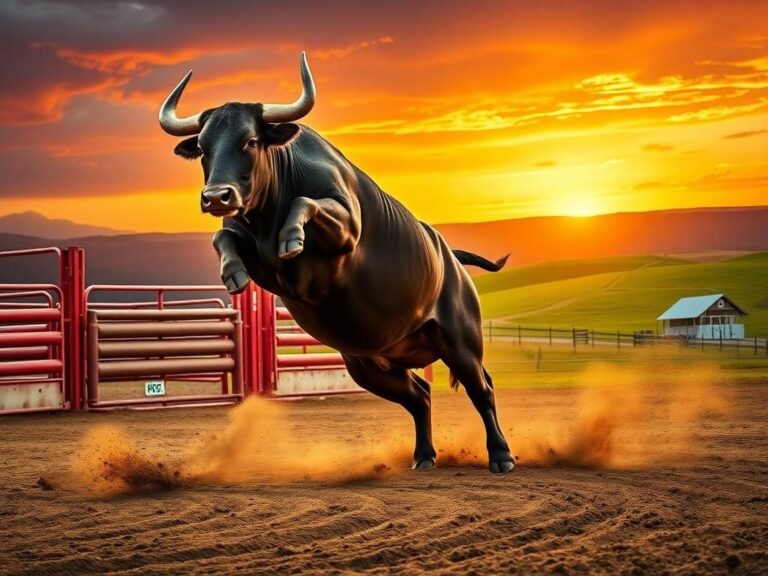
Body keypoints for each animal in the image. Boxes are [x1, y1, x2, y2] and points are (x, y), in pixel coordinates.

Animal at [159, 53, 515, 473]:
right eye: (203, 147)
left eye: (250, 140)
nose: (216, 197)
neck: (268, 213)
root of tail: (451, 261)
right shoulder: (263, 263)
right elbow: (224, 238)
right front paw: (233, 274)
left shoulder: (346, 228)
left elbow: (306, 203)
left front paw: (292, 237)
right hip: (370, 365)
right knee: (420, 395)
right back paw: (424, 456)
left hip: (461, 341)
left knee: (482, 390)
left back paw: (501, 456)